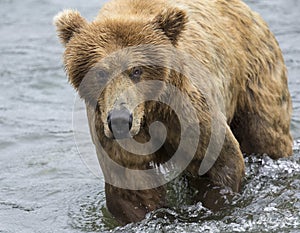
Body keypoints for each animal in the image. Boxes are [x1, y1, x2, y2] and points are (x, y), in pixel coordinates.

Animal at [54, 0, 292, 227]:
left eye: (137, 70)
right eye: (101, 72)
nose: (120, 120)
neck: (150, 112)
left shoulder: (187, 112)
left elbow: (218, 162)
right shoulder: (112, 133)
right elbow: (132, 186)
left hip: (255, 75)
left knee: (265, 134)